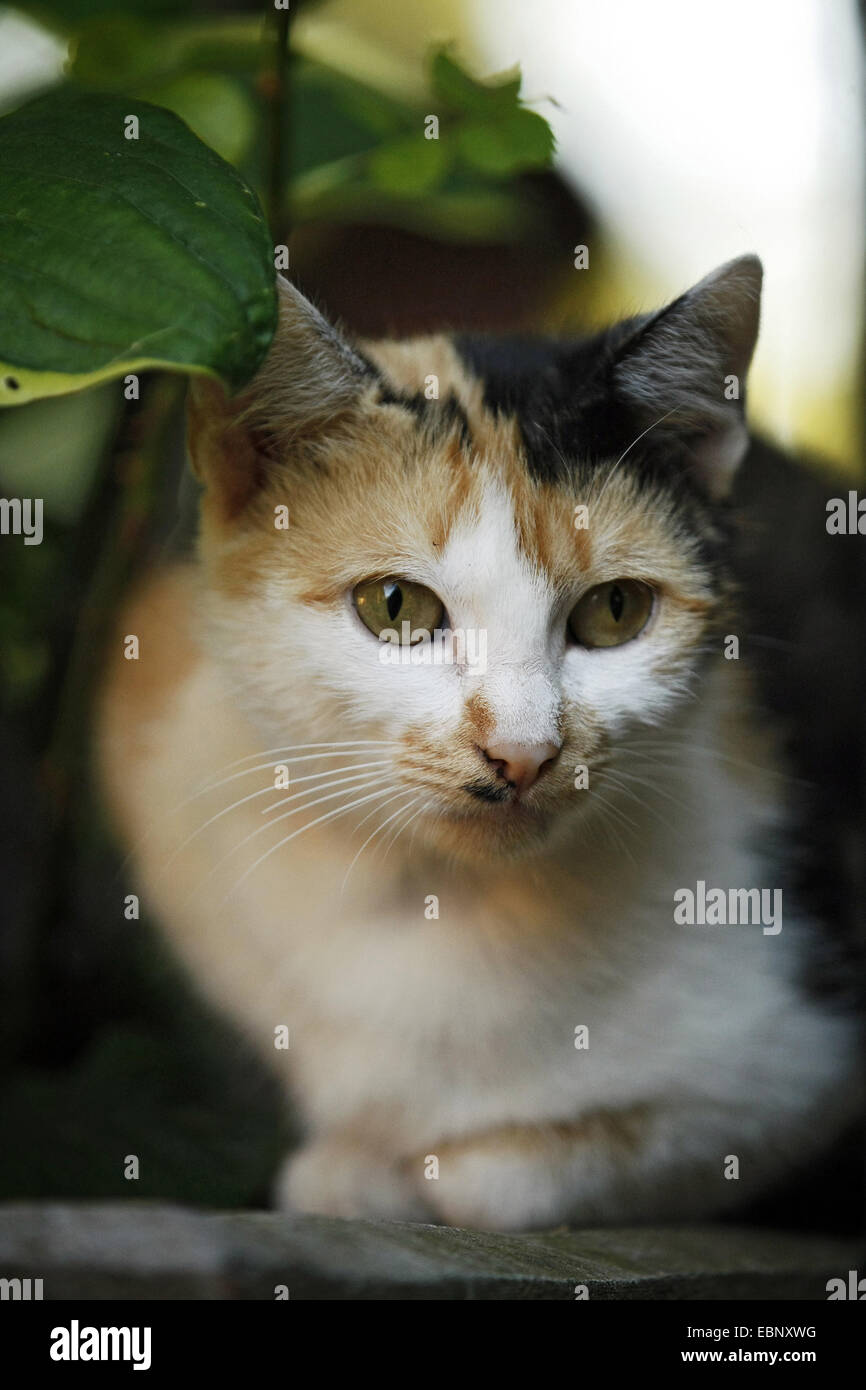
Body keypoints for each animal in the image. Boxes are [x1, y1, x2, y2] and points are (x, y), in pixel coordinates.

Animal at [96, 258, 861, 1228]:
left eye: (616, 611)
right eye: (395, 606)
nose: (524, 751)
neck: (442, 897)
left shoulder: (803, 1066)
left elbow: (517, 1177)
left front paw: (432, 1162)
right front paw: (354, 1165)